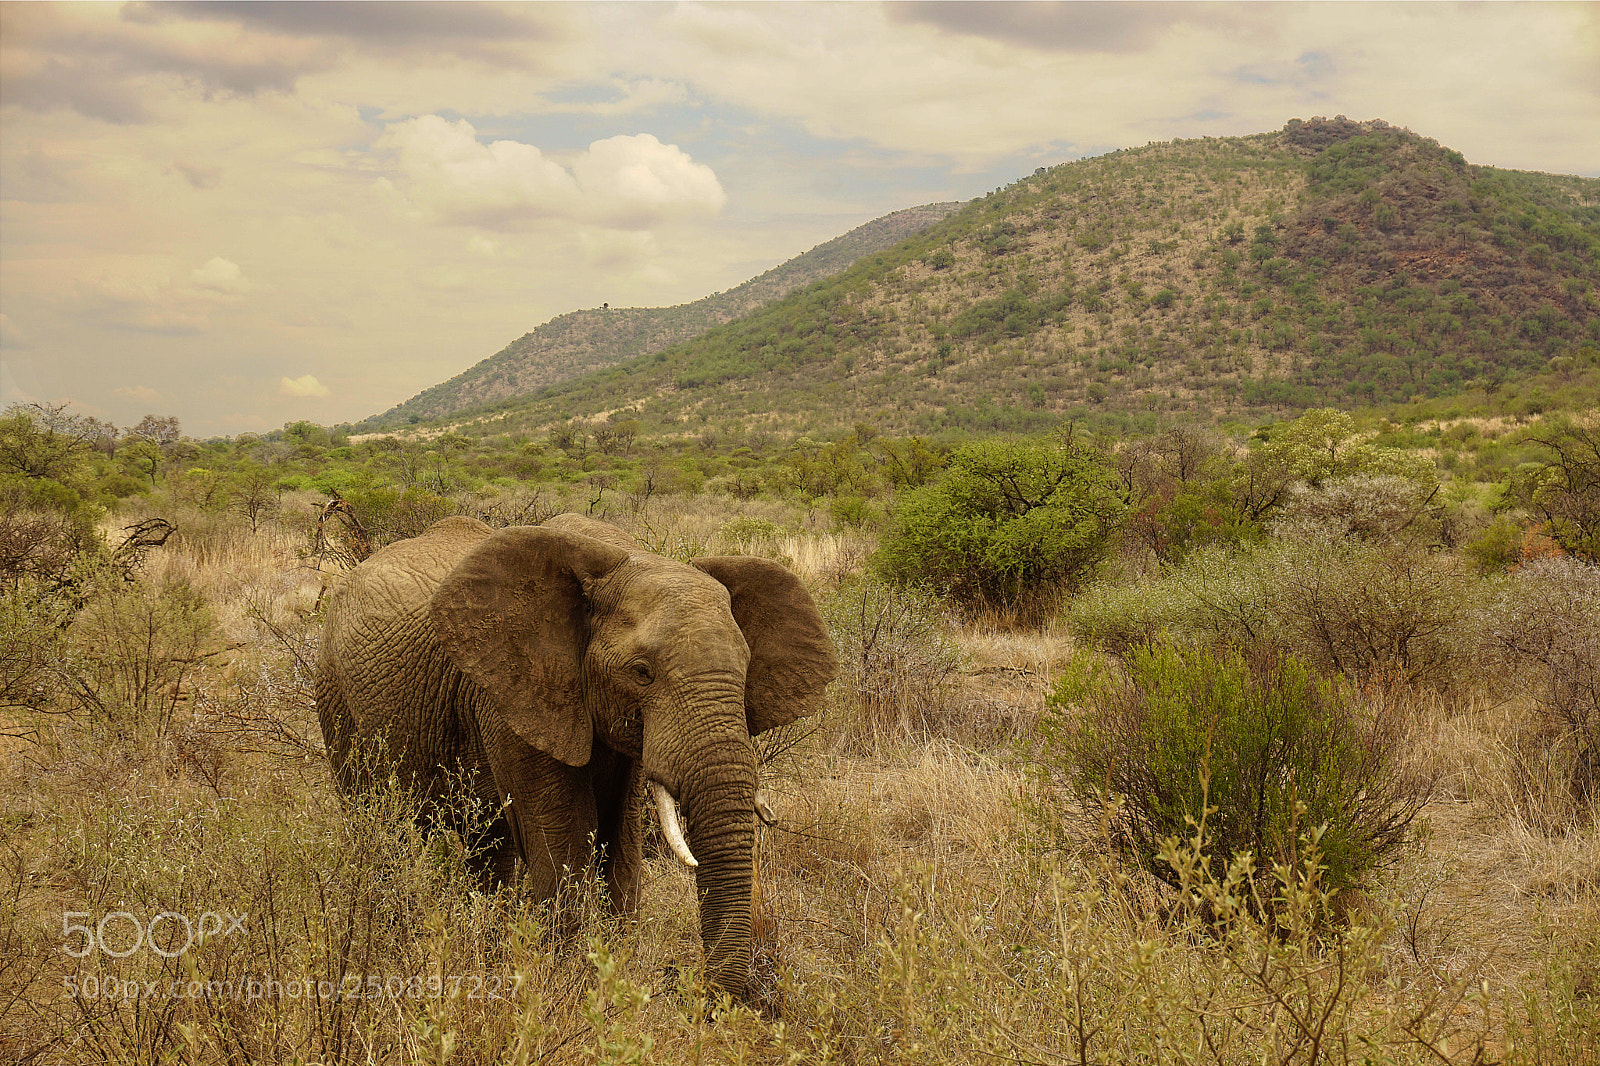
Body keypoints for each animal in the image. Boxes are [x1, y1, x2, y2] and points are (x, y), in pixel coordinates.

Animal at [315, 513, 836, 1001]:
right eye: (642, 672)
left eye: (745, 669)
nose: (714, 998)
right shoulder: (515, 695)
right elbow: (564, 834)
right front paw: (569, 977)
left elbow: (621, 837)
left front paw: (614, 966)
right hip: (335, 696)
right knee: (376, 825)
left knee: (490, 845)